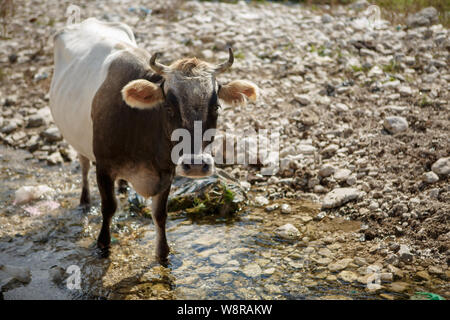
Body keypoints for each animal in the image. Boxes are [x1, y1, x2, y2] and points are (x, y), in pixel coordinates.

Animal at [49, 18, 258, 262]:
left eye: (216, 107)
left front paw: (163, 253)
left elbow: (159, 214)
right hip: (78, 140)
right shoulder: (104, 166)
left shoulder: (167, 171)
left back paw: (122, 187)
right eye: (168, 108)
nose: (196, 165)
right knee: (83, 164)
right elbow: (108, 207)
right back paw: (84, 200)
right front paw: (103, 244)